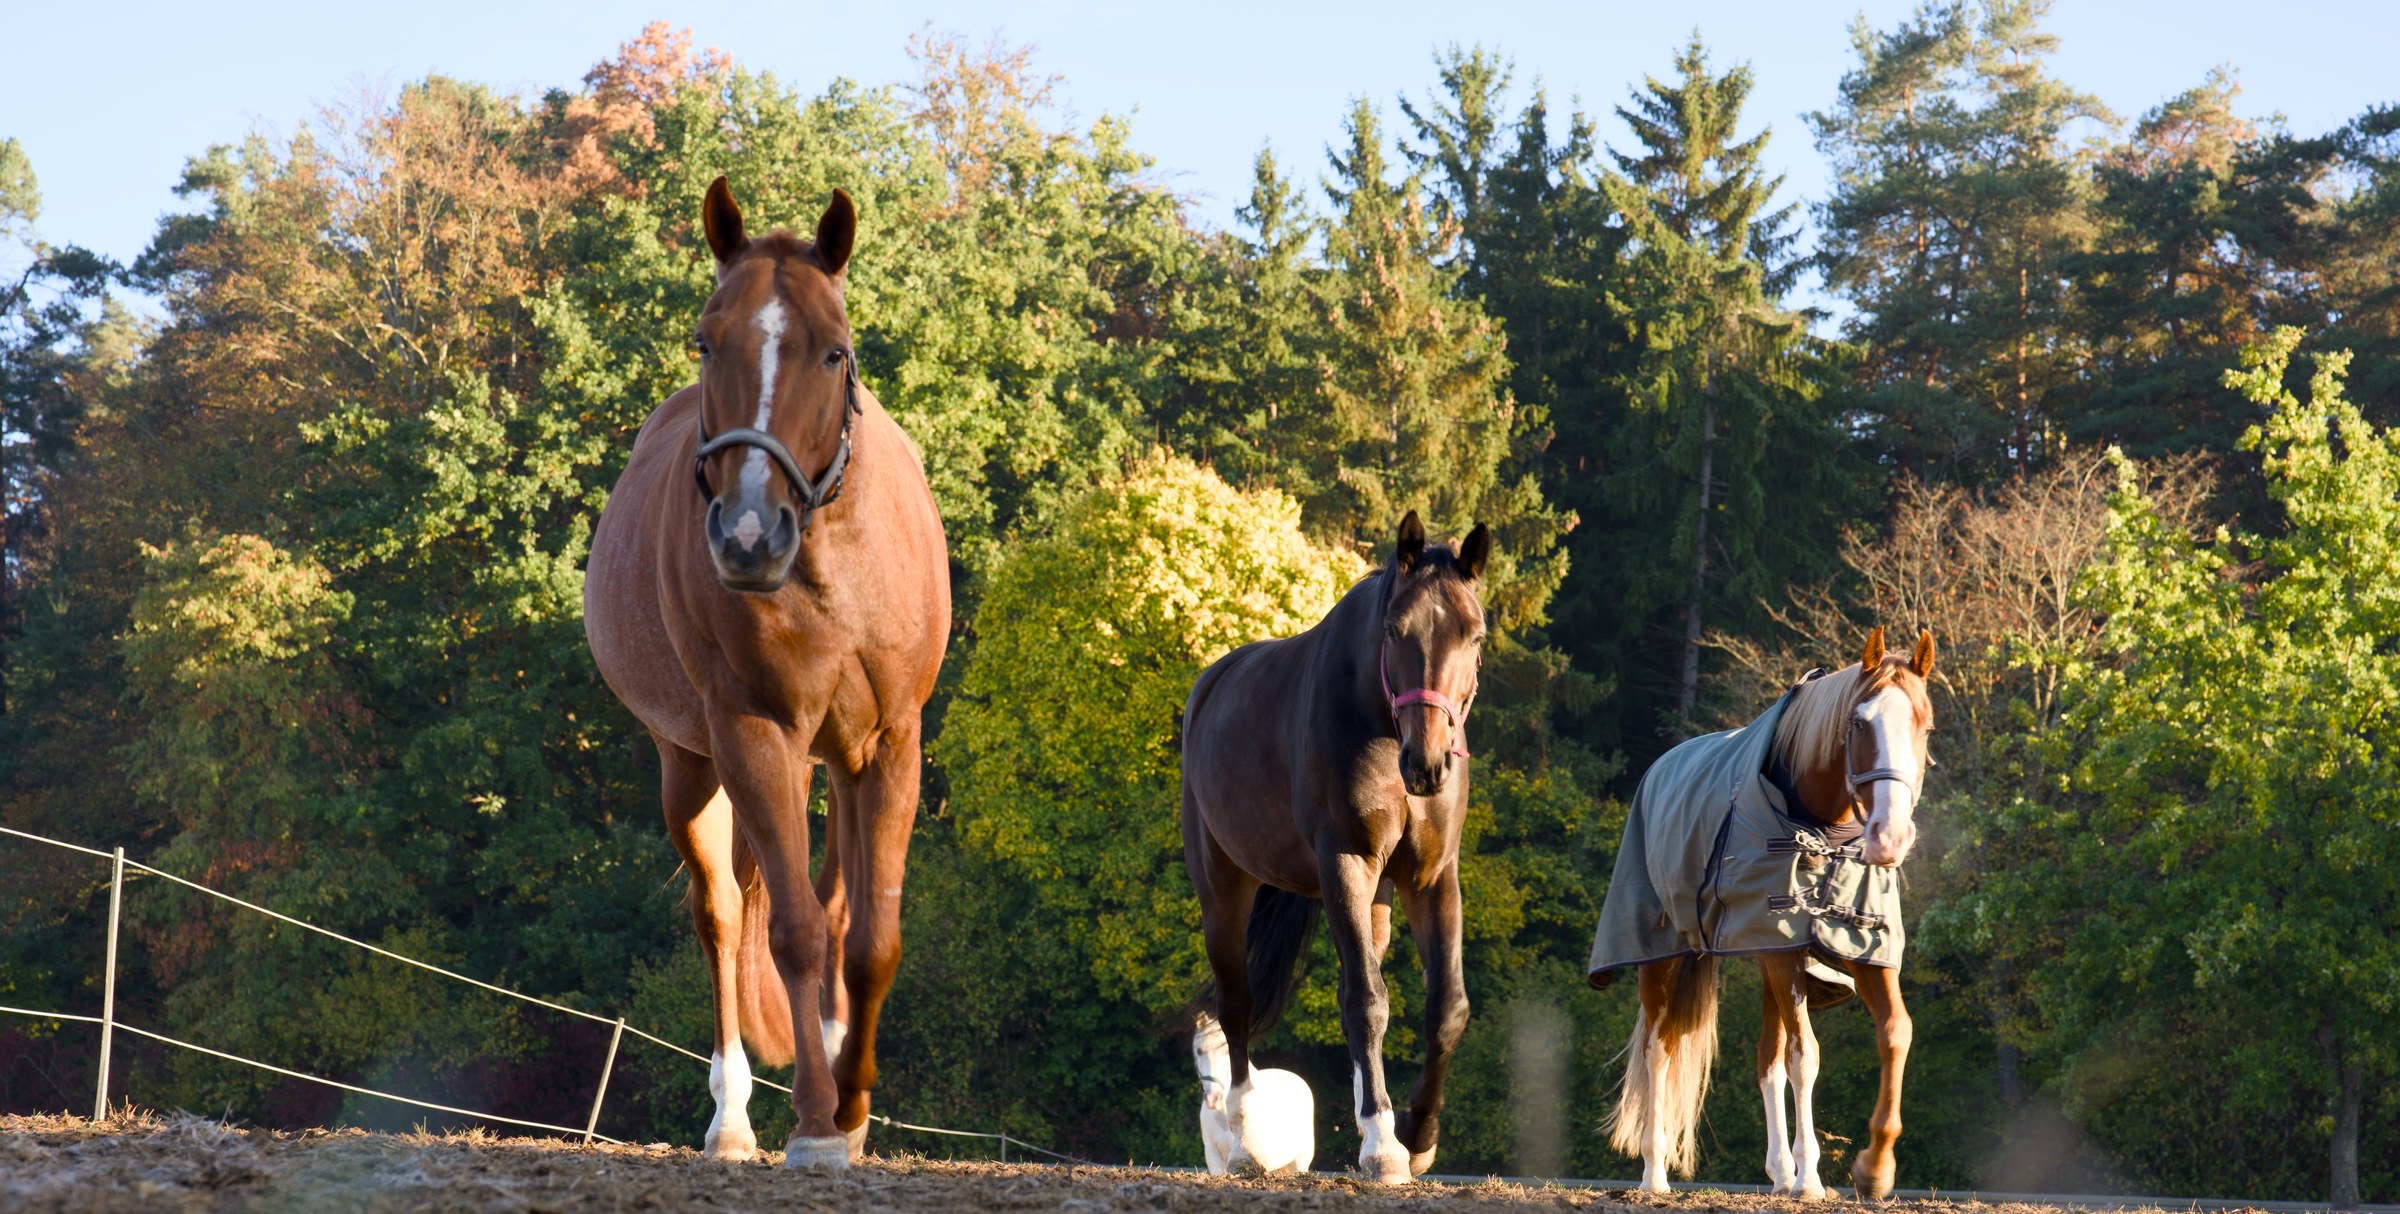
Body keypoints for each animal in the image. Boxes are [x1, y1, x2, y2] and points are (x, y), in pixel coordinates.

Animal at [583, 177, 950, 1170]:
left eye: (835, 350)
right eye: (707, 341)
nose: (749, 536)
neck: (829, 567)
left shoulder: (889, 746)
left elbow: (871, 938)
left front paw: (852, 1104)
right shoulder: (752, 737)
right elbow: (788, 932)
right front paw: (818, 1123)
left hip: (837, 764)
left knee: (837, 912)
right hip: (693, 769)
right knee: (722, 916)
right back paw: (735, 1116)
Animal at [1180, 511, 1490, 1184]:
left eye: (1474, 636)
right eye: (1396, 631)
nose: (1428, 763)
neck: (1378, 724)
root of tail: (1210, 685)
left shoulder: (1431, 878)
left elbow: (1445, 1007)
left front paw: (1416, 1135)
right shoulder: (1345, 863)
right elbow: (1365, 1002)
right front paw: (1381, 1143)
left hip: (1375, 900)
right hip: (1223, 887)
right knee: (1236, 1004)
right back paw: (1247, 1139)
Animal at [1588, 627, 1935, 1198]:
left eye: (1925, 725)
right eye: (1859, 723)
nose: (1889, 836)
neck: (1821, 834)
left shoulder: (1856, 947)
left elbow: (1895, 1033)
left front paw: (1874, 1167)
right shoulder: (1781, 947)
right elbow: (1806, 1055)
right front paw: (1812, 1178)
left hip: (1770, 955)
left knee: (1765, 1057)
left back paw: (1780, 1171)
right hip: (1666, 955)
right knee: (1659, 1050)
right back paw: (1655, 1174)